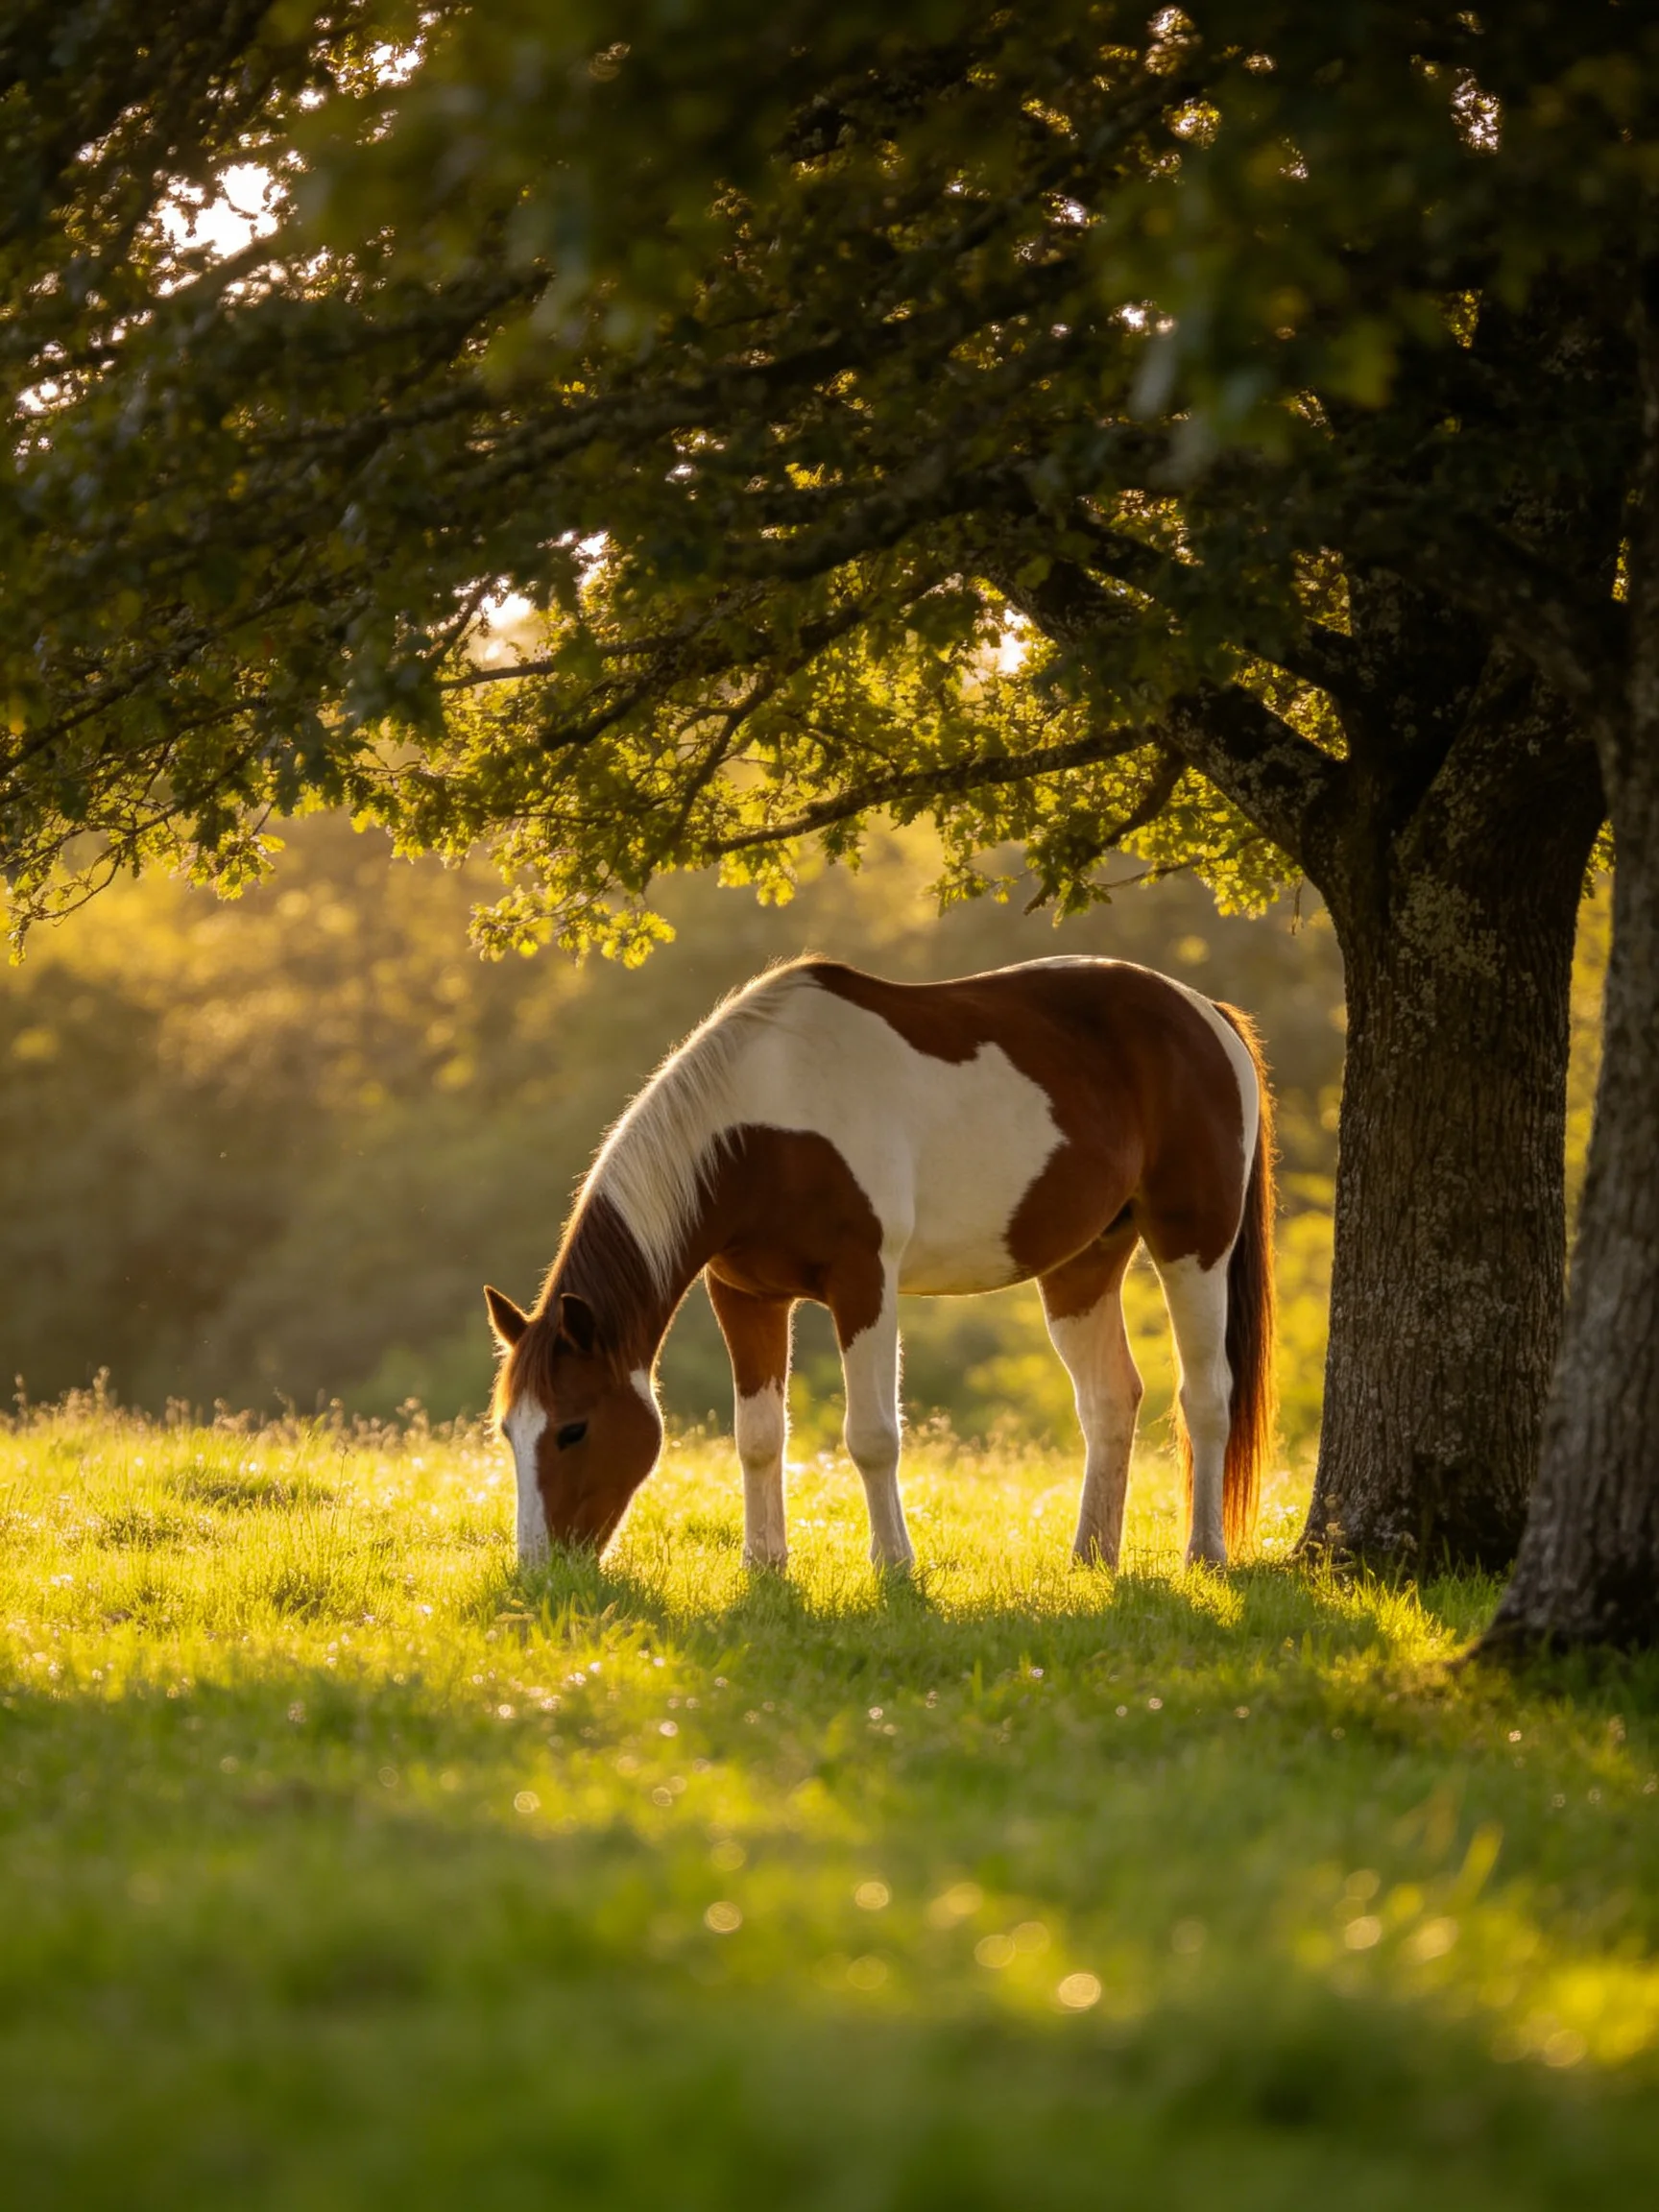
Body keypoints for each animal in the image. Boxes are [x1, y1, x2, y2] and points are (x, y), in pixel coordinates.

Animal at [485, 954, 1276, 1574]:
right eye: (508, 1431)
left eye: (573, 1428)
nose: (540, 1570)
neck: (763, 1125)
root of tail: (1205, 1013)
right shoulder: (744, 1296)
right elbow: (759, 1437)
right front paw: (764, 1565)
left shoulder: (864, 1283)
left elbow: (871, 1436)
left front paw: (894, 1564)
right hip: (1083, 1265)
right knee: (1110, 1400)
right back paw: (1090, 1557)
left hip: (1193, 1243)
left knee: (1206, 1396)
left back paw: (1205, 1554)